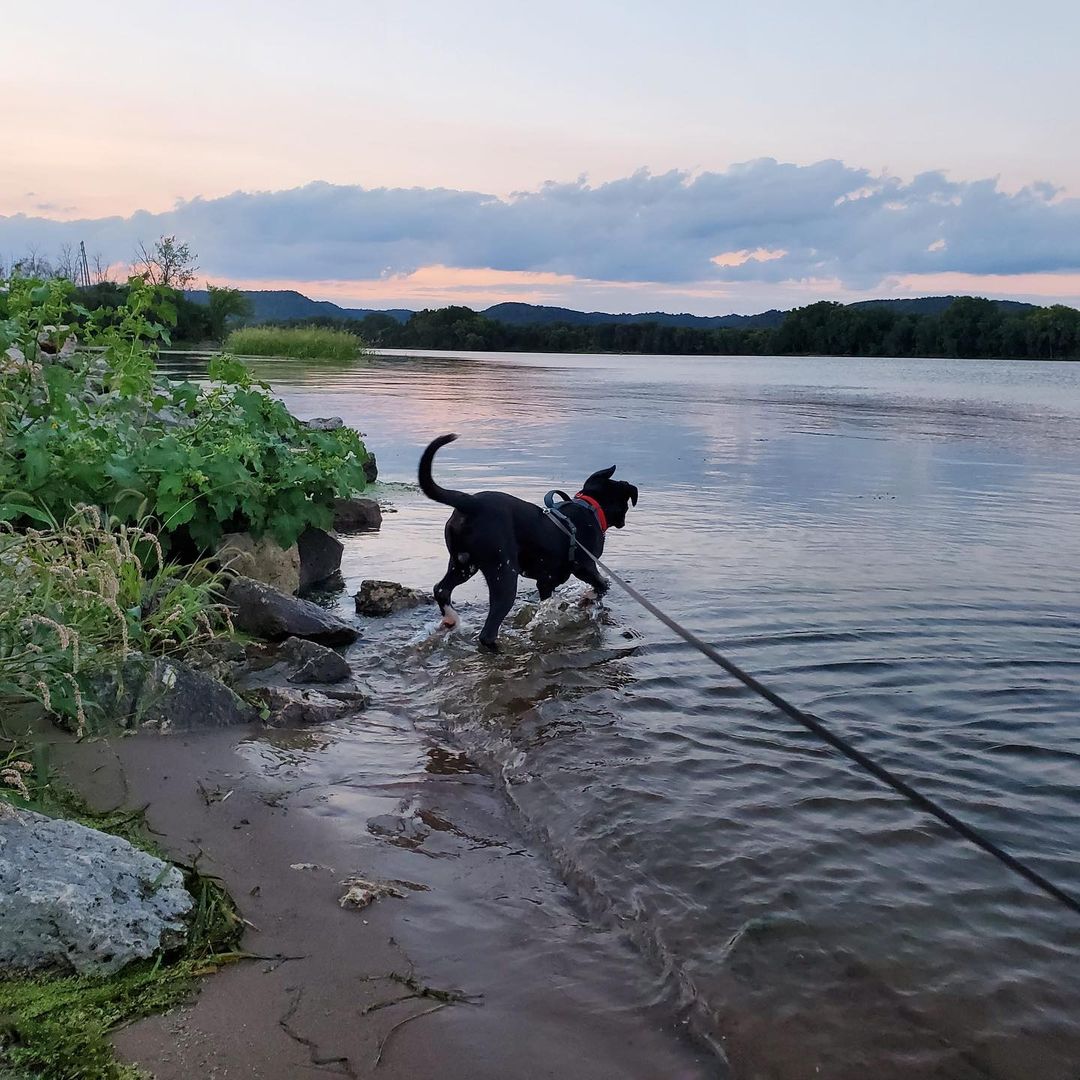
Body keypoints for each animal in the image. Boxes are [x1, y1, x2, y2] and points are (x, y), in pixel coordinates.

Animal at [416, 432, 635, 648]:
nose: (623, 522)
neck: (590, 507)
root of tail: (471, 503)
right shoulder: (585, 566)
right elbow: (603, 585)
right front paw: (588, 598)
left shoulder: (547, 581)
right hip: (503, 573)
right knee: (487, 632)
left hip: (462, 564)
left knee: (441, 589)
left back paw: (450, 619)